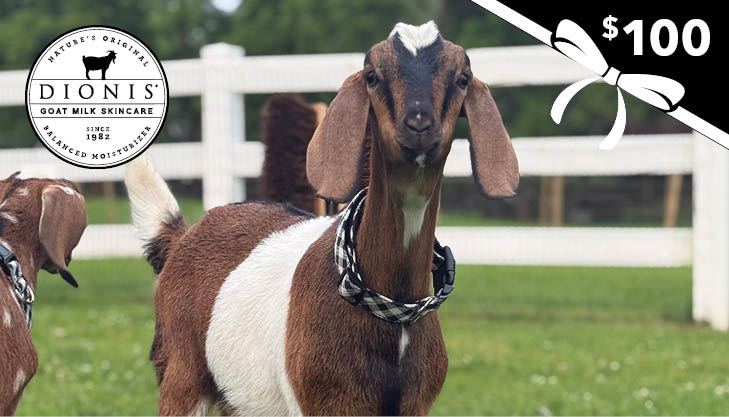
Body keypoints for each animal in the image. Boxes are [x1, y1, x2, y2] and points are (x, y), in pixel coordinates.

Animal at [125, 21, 518, 416]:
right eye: (372, 76)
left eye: (463, 78)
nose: (419, 125)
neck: (390, 305)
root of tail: (182, 237)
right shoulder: (324, 402)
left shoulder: (415, 405)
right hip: (181, 374)